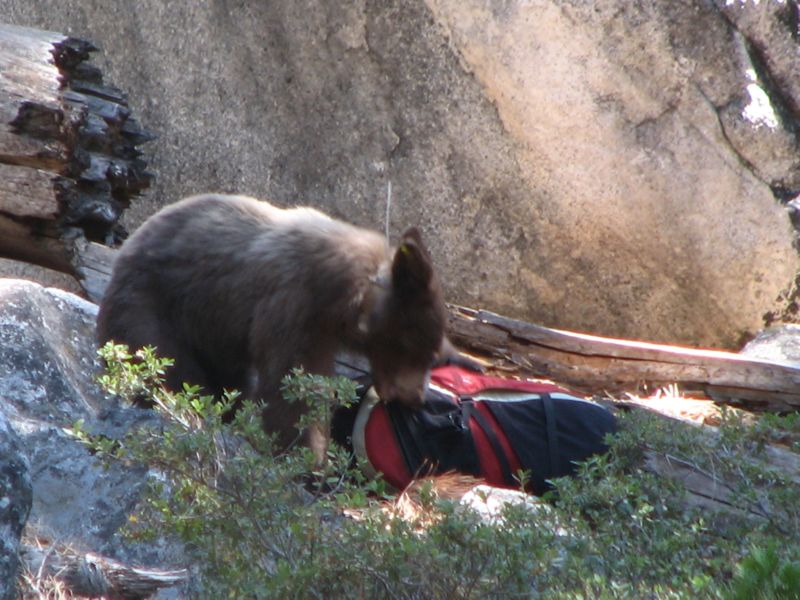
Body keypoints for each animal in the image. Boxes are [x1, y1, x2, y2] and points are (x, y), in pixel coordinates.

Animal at [97, 192, 454, 450]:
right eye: (418, 347)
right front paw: (305, 460)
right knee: (171, 370)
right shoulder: (293, 306)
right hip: (150, 310)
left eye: (433, 354)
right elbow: (290, 387)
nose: (416, 399)